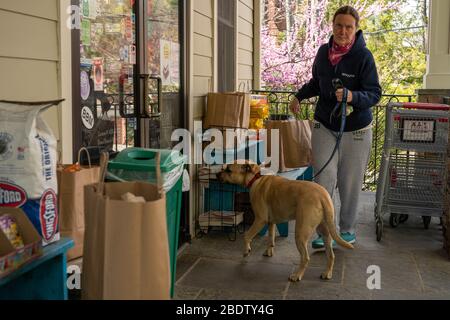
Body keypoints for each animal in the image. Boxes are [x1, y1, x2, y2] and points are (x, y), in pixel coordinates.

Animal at [216, 164, 354, 282]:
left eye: (228, 169)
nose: (217, 174)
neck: (256, 178)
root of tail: (323, 196)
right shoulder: (271, 222)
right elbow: (271, 238)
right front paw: (269, 251)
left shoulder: (260, 220)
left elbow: (247, 236)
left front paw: (246, 250)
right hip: (324, 231)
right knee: (331, 255)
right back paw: (327, 273)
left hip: (300, 233)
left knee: (305, 258)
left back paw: (297, 275)